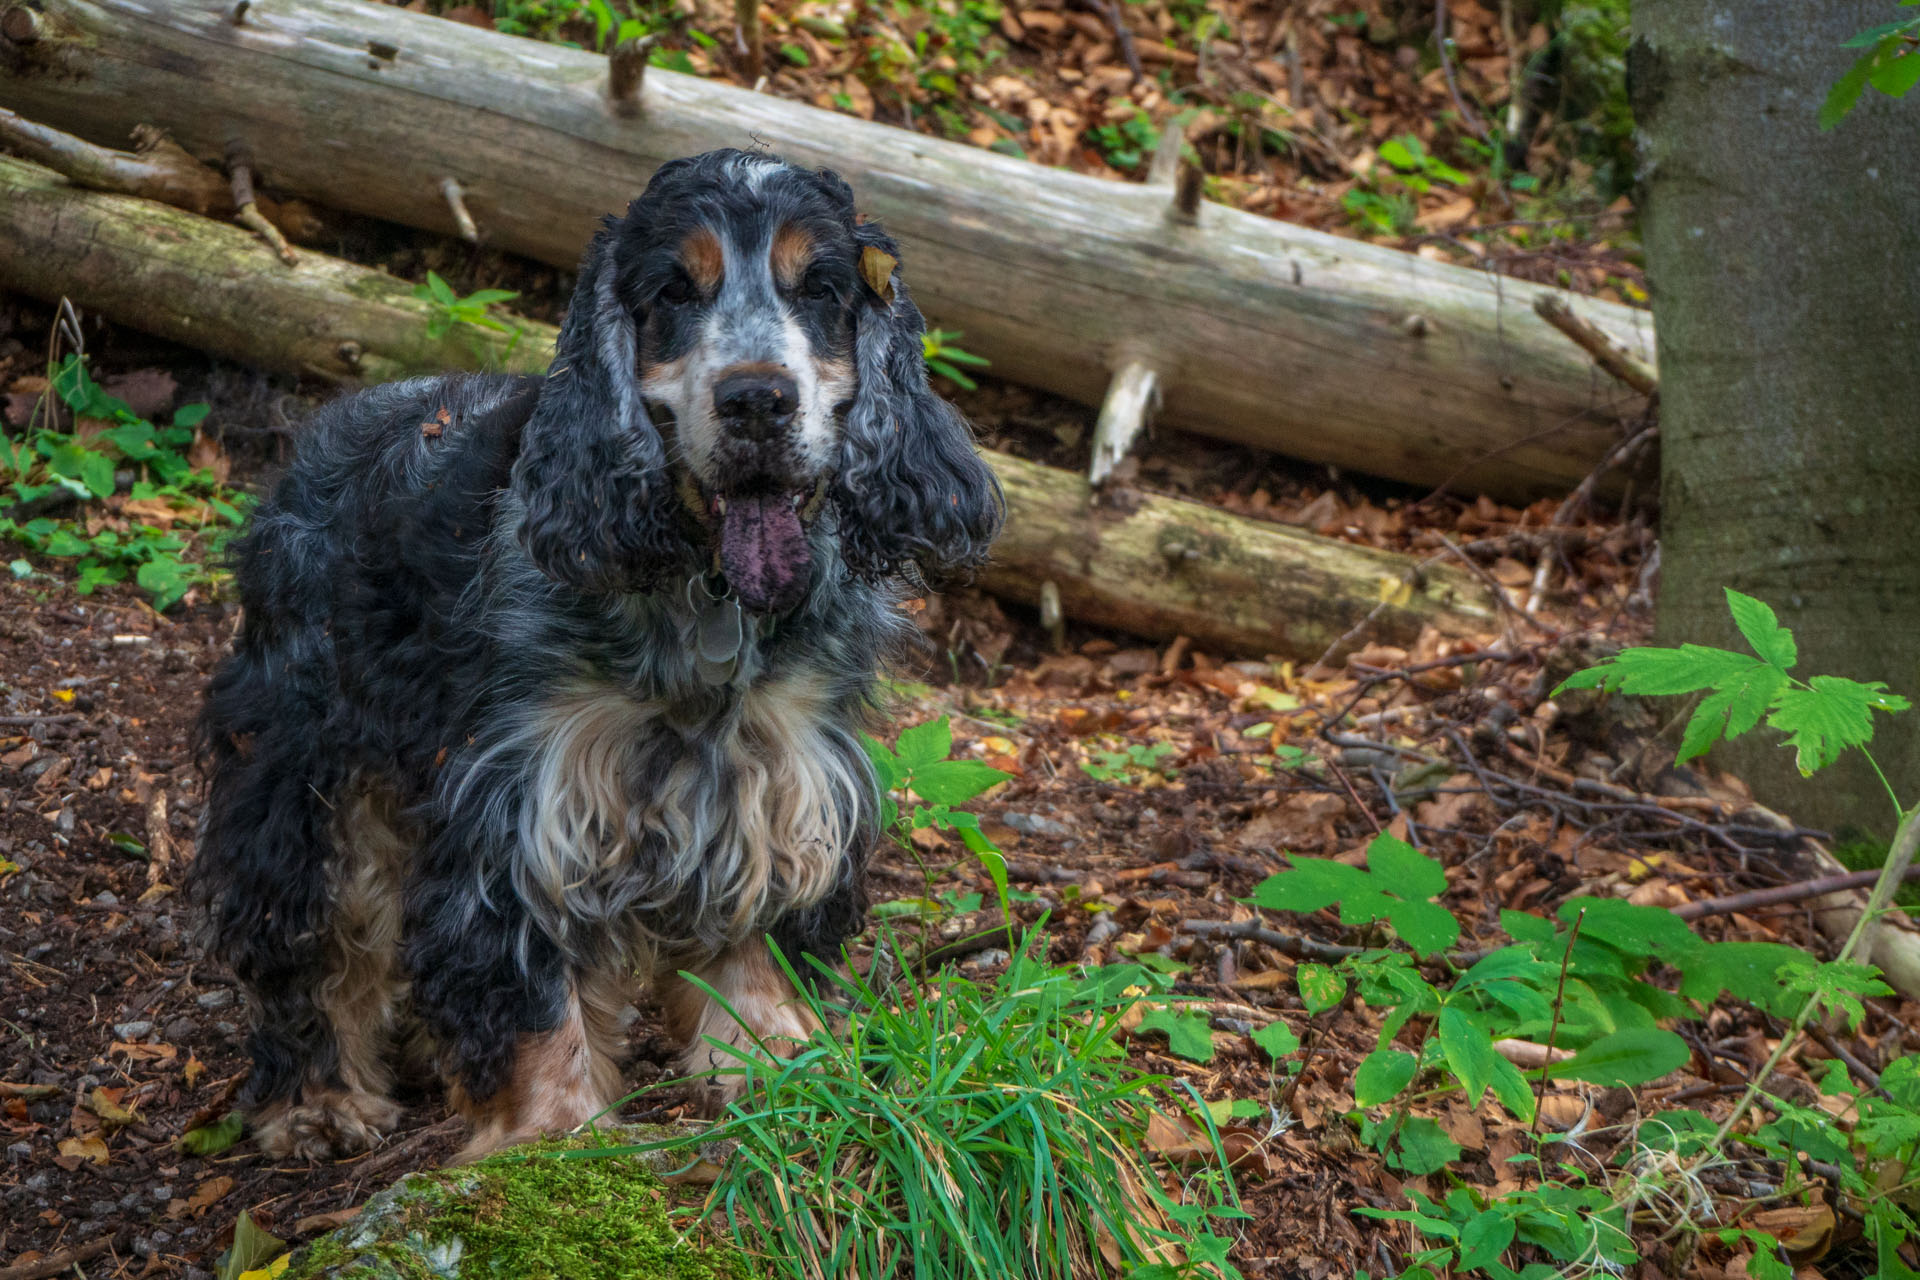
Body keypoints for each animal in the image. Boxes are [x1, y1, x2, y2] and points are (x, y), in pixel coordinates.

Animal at [192, 147, 1006, 1159]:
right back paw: (318, 1101)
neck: (704, 592)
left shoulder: (782, 769)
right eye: (672, 290)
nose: (756, 399)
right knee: (313, 934)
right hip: (307, 764)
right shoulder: (523, 800)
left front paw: (772, 1073)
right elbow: (532, 992)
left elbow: (756, 938)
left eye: (819, 287)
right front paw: (552, 1137)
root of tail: (323, 429)